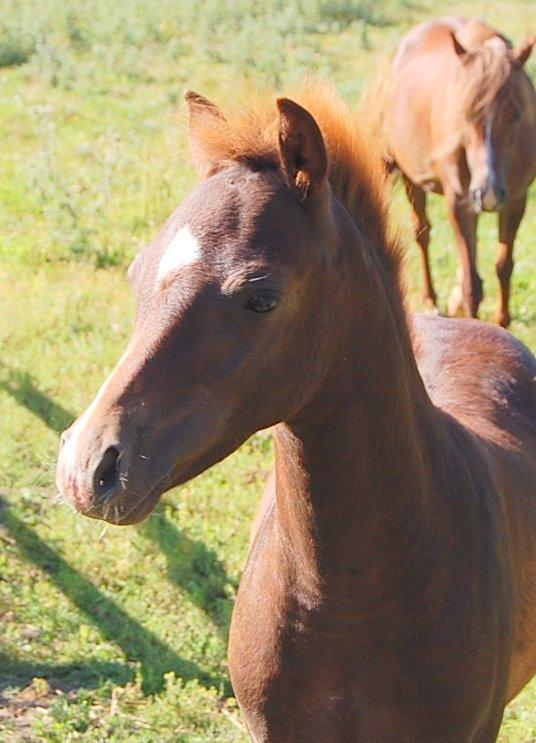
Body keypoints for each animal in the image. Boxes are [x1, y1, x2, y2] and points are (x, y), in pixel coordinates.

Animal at [380, 17, 535, 327]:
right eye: (466, 114)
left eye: (516, 112)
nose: (487, 192)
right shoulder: (460, 204)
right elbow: (472, 285)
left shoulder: (515, 201)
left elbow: (504, 266)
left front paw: (502, 321)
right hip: (411, 179)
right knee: (422, 233)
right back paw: (431, 299)